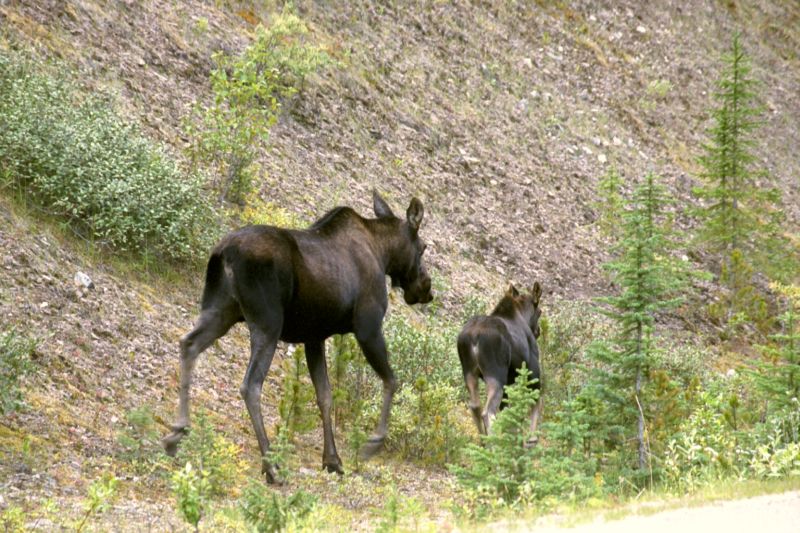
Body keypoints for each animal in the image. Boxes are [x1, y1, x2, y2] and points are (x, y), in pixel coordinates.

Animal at [162, 191, 432, 482]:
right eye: (423, 247)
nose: (427, 289)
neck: (383, 255)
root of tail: (222, 252)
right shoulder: (367, 326)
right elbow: (391, 381)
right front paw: (373, 443)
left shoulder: (314, 337)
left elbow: (325, 395)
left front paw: (332, 460)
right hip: (268, 321)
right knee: (251, 384)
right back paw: (270, 465)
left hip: (221, 310)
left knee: (189, 343)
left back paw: (176, 433)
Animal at [456, 282, 544, 436]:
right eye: (540, 312)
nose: (538, 330)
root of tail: (474, 337)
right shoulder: (533, 372)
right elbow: (535, 404)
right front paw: (531, 439)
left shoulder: (509, 383)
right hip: (496, 374)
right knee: (488, 412)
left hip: (469, 372)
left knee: (475, 406)